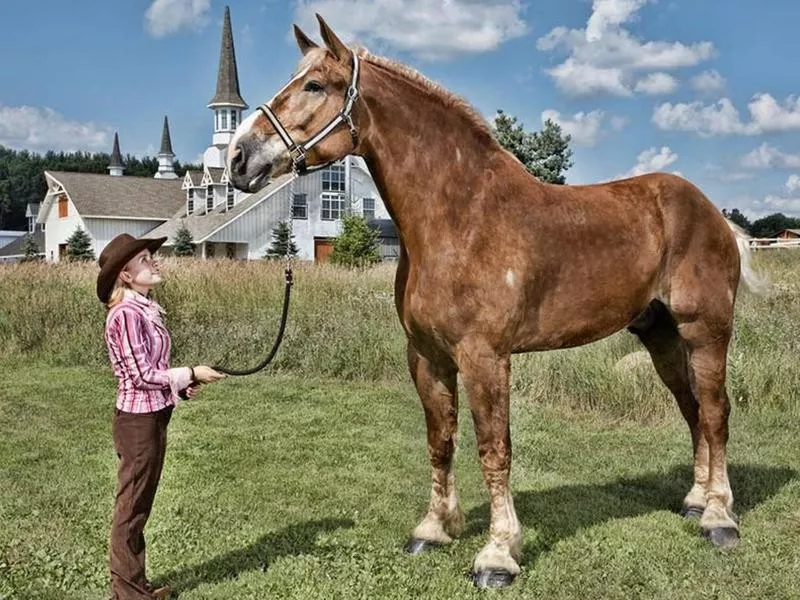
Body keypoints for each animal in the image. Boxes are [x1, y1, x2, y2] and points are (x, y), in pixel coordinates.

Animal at [223, 16, 764, 588]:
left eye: (314, 86)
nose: (238, 158)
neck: (460, 218)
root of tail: (713, 214)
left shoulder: (484, 357)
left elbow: (493, 448)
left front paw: (498, 554)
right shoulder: (428, 357)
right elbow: (441, 440)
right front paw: (434, 529)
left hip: (706, 331)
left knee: (715, 412)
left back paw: (719, 518)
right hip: (661, 336)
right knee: (692, 410)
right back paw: (695, 500)